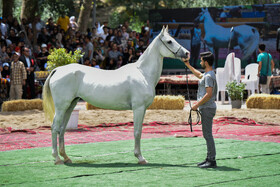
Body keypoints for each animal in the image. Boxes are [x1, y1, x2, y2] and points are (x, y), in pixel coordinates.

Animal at [42, 26, 190, 165]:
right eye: (169, 41)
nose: (187, 53)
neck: (143, 73)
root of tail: (57, 69)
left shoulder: (143, 109)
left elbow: (139, 131)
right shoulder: (138, 108)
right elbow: (137, 132)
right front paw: (140, 157)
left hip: (70, 105)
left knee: (62, 129)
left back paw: (66, 158)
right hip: (61, 107)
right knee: (54, 128)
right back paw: (57, 159)